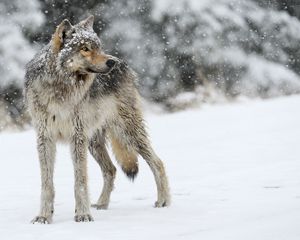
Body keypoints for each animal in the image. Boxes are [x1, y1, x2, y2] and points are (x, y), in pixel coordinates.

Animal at [24, 16, 170, 223]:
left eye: (99, 47)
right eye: (85, 48)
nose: (111, 62)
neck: (61, 89)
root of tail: (124, 64)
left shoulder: (77, 137)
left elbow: (80, 181)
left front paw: (83, 214)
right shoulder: (45, 138)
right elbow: (47, 184)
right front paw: (44, 216)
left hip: (127, 133)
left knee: (158, 162)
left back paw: (163, 201)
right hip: (94, 142)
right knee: (111, 170)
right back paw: (101, 204)